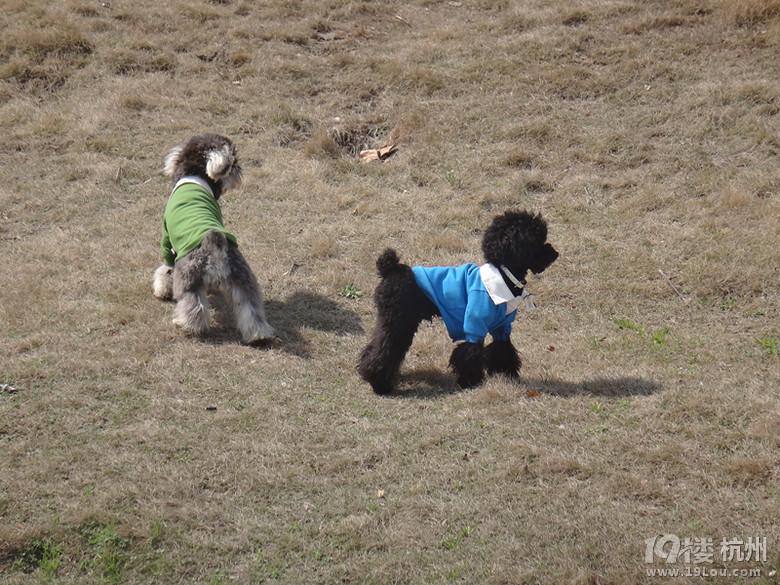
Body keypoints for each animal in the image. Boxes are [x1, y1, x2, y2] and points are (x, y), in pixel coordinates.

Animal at [152, 133, 274, 342]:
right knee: (251, 309)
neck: (195, 178)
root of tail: (215, 244)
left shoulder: (167, 240)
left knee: (194, 307)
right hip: (243, 280)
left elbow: (165, 268)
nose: (239, 170)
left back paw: (185, 325)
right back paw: (258, 335)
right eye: (233, 161)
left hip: (188, 279)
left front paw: (161, 289)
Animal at [356, 209, 556, 392]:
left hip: (391, 321)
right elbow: (470, 353)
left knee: (376, 346)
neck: (503, 275)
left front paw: (506, 375)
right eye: (535, 241)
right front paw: (470, 381)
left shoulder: (502, 327)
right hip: (400, 322)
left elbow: (503, 349)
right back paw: (380, 385)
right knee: (385, 351)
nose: (555, 253)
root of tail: (390, 269)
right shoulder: (474, 326)